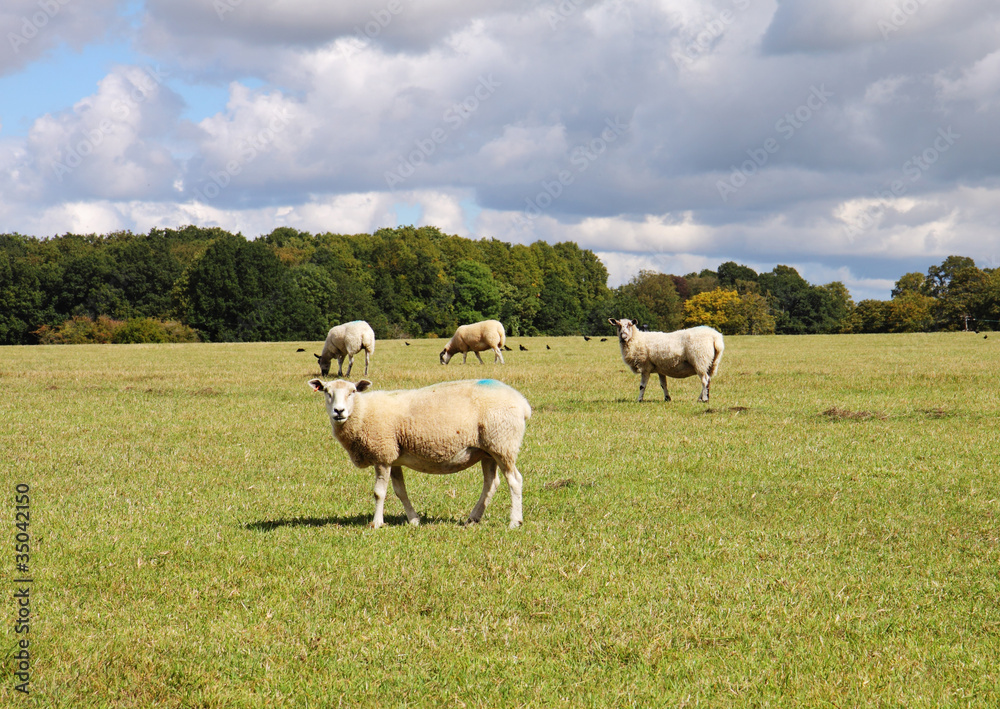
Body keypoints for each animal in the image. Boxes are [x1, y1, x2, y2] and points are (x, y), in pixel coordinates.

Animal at [306, 378, 532, 528]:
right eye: (326, 391)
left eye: (352, 391)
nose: (339, 411)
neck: (362, 412)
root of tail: (522, 402)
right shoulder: (394, 457)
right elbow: (400, 491)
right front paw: (413, 520)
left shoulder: (382, 455)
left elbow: (379, 492)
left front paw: (376, 523)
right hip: (487, 451)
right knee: (491, 484)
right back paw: (472, 519)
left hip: (503, 444)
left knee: (515, 480)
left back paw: (514, 521)